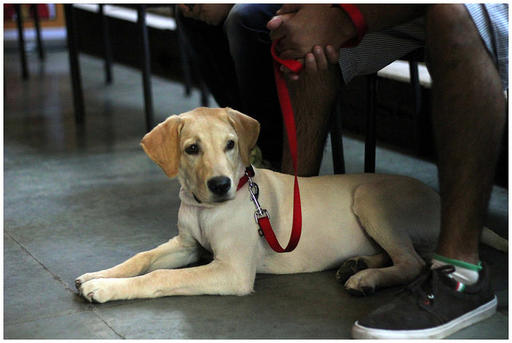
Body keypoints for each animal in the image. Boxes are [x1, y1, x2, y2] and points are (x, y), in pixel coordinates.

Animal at [75, 107, 504, 304]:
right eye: (191, 149)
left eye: (230, 144)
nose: (220, 184)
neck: (205, 208)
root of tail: (439, 198)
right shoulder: (187, 245)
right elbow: (143, 258)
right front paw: (100, 274)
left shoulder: (232, 272)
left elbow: (160, 276)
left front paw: (106, 288)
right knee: (404, 255)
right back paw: (358, 264)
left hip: (369, 198)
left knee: (413, 262)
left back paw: (365, 278)